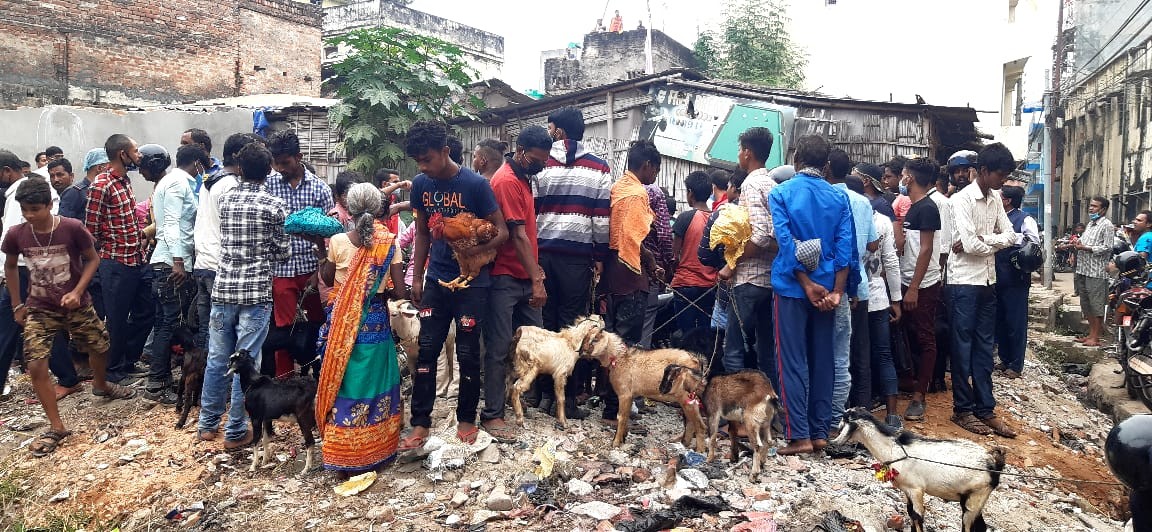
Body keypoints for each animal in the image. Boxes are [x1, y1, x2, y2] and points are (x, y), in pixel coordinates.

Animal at [834, 407, 1004, 532]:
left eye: (843, 421)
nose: (835, 437)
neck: (895, 448)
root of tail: (993, 463)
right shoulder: (906, 490)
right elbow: (910, 514)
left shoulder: (916, 489)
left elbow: (917, 517)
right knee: (981, 526)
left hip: (975, 497)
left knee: (969, 526)